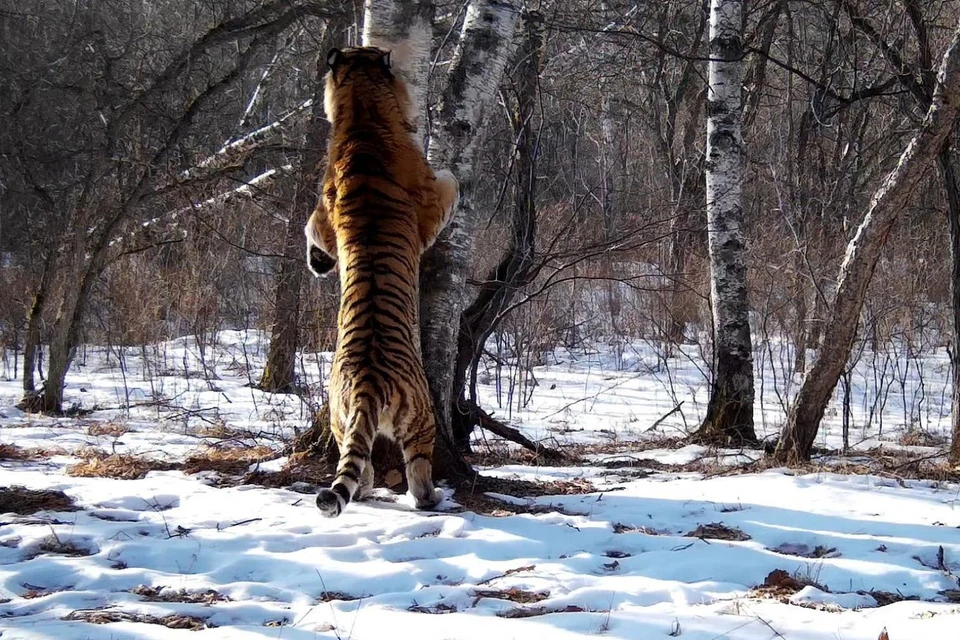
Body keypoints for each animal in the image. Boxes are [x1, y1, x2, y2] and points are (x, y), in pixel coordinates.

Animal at [306, 46, 460, 520]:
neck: (362, 114)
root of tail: (368, 382)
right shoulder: (429, 202)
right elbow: (450, 183)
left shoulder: (324, 209)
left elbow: (310, 226)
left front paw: (318, 262)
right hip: (424, 418)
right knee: (418, 472)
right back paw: (433, 498)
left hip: (340, 419)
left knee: (357, 463)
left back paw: (365, 492)